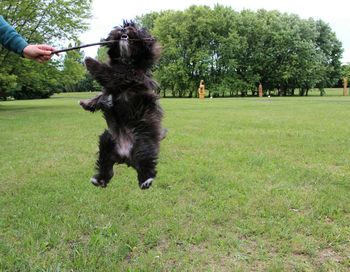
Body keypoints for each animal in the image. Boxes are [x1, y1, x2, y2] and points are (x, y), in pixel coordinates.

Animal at [80, 20, 165, 189]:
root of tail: (125, 156)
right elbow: (100, 96)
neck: (127, 61)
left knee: (146, 163)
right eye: (122, 27)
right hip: (107, 142)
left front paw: (89, 61)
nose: (124, 30)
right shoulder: (111, 87)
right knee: (106, 166)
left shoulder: (124, 76)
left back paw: (146, 180)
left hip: (143, 143)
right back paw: (100, 179)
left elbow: (106, 72)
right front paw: (86, 103)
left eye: (135, 28)